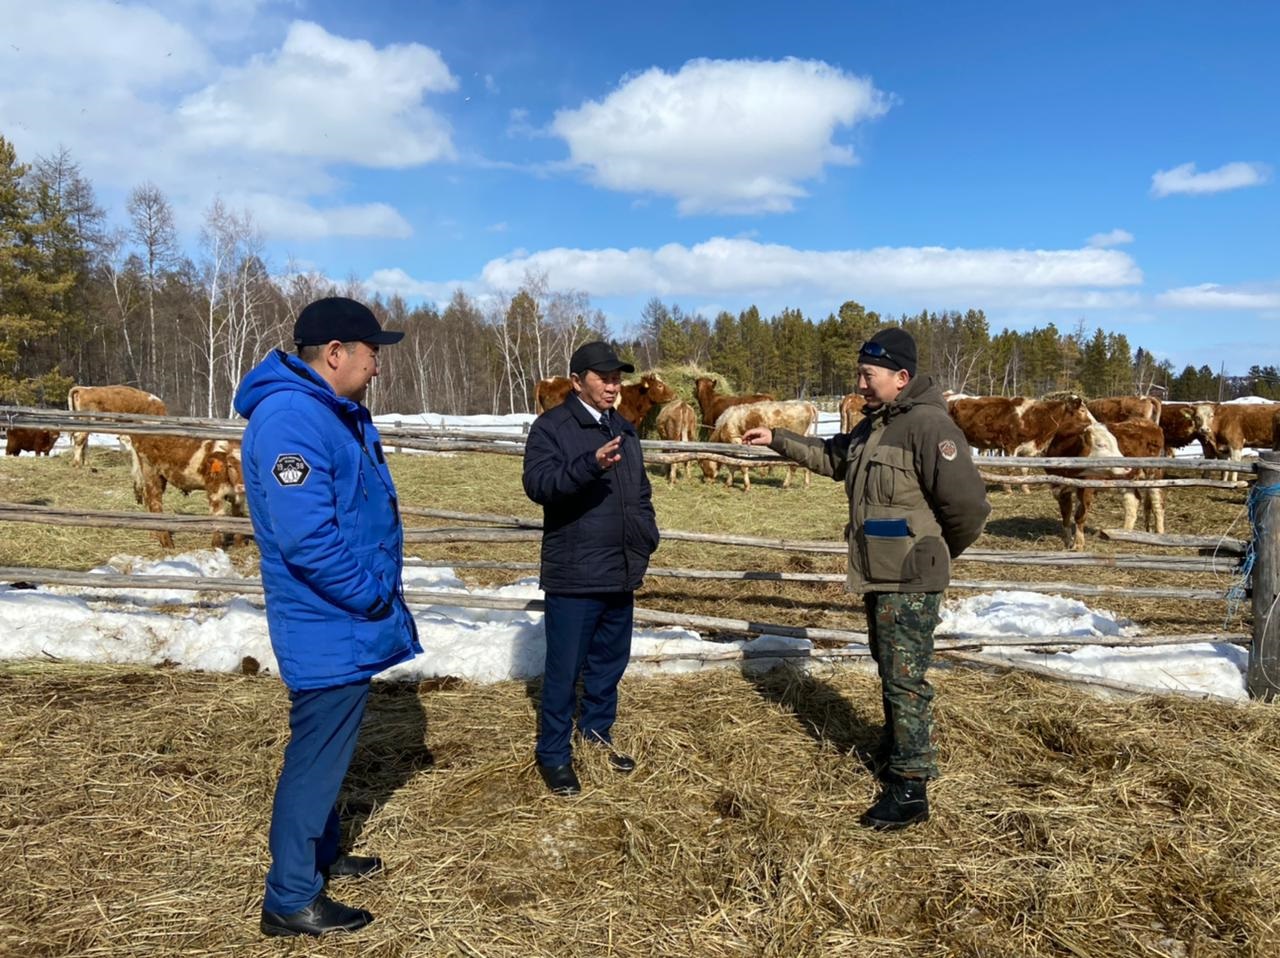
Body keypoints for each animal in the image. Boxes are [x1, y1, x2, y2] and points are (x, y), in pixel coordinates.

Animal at [1044, 420, 1167, 550]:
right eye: (1101, 445)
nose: (1127, 465)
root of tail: (1150, 424)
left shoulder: (1086, 488)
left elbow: (1079, 516)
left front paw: (1078, 544)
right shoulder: (1059, 489)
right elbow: (1066, 516)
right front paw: (1068, 543)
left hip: (1154, 474)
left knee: (1158, 503)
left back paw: (1159, 534)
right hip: (1126, 480)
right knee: (1133, 501)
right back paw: (1125, 534)